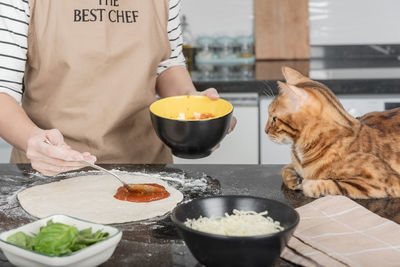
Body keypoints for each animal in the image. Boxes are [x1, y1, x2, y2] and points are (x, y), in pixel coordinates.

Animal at [266, 67, 400, 199]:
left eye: (274, 119)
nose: (265, 131)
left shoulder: (383, 183)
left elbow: (326, 184)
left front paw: (306, 183)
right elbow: (285, 169)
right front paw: (294, 178)